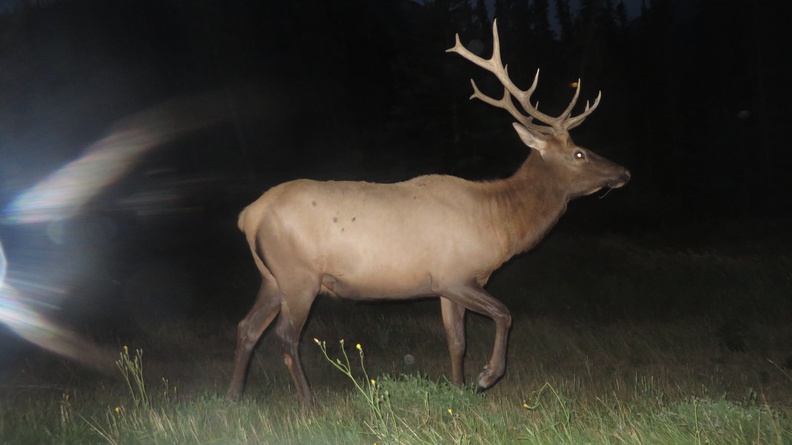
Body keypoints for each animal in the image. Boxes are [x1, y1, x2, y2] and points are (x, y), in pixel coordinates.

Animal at [226, 20, 630, 408]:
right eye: (579, 153)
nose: (624, 172)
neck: (498, 227)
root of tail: (249, 215)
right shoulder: (454, 275)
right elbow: (504, 314)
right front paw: (486, 377)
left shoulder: (448, 286)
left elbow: (457, 341)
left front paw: (460, 388)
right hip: (299, 276)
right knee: (286, 336)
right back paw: (308, 403)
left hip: (272, 277)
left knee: (247, 327)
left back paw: (235, 398)